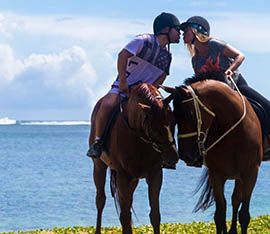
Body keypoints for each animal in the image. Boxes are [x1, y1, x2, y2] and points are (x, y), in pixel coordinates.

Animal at [87, 83, 179, 234]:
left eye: (174, 123)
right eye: (155, 128)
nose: (173, 157)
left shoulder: (155, 175)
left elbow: (155, 215)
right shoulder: (123, 175)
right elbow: (125, 215)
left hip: (133, 179)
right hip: (99, 165)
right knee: (100, 200)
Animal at [162, 79, 264, 234]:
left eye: (190, 115)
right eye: (174, 117)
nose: (185, 155)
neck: (234, 134)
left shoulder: (250, 174)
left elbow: (244, 215)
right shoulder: (216, 176)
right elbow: (220, 214)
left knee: (236, 200)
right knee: (234, 200)